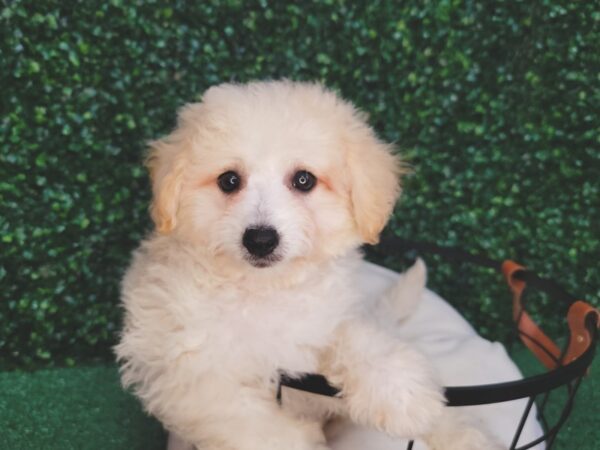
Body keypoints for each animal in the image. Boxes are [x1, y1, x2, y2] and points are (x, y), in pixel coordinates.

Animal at [115, 81, 490, 450]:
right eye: (229, 181)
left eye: (304, 180)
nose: (261, 239)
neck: (262, 290)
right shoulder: (190, 372)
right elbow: (253, 426)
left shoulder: (324, 322)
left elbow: (357, 339)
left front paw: (402, 394)